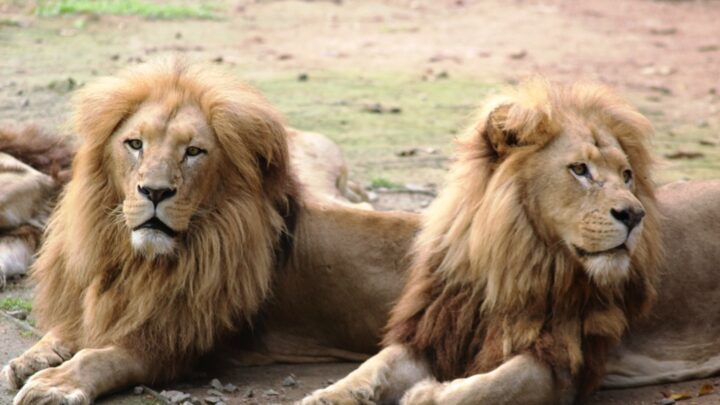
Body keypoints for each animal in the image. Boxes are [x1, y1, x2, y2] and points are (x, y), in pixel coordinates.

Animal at [2, 60, 416, 404]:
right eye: (135, 144)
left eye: (193, 152)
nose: (155, 191)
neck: (138, 259)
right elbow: (72, 327)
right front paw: (37, 355)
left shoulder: (173, 344)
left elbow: (100, 357)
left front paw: (56, 383)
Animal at [302, 79, 664, 404]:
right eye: (579, 169)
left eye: (627, 176)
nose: (635, 215)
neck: (510, 268)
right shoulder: (435, 331)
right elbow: (374, 366)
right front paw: (327, 396)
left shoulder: (565, 361)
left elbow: (496, 385)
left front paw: (426, 394)